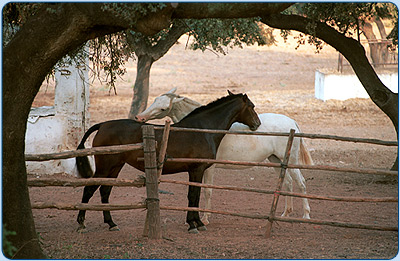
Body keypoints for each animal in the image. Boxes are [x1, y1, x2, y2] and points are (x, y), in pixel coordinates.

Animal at [76, 90, 260, 233]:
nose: (257, 124)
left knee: (105, 191)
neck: (202, 129)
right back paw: (81, 223)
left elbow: (195, 196)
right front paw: (194, 224)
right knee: (89, 190)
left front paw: (196, 222)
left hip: (115, 167)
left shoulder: (197, 171)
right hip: (105, 167)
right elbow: (193, 195)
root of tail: (102, 125)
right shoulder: (197, 170)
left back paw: (111, 223)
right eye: (252, 106)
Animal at [136, 87, 314, 223]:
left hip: (290, 160)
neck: (206, 128)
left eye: (163, 108)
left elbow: (207, 191)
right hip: (276, 160)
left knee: (301, 183)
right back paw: (285, 213)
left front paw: (205, 218)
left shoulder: (209, 168)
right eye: (155, 100)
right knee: (288, 182)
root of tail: (292, 122)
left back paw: (306, 215)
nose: (140, 117)